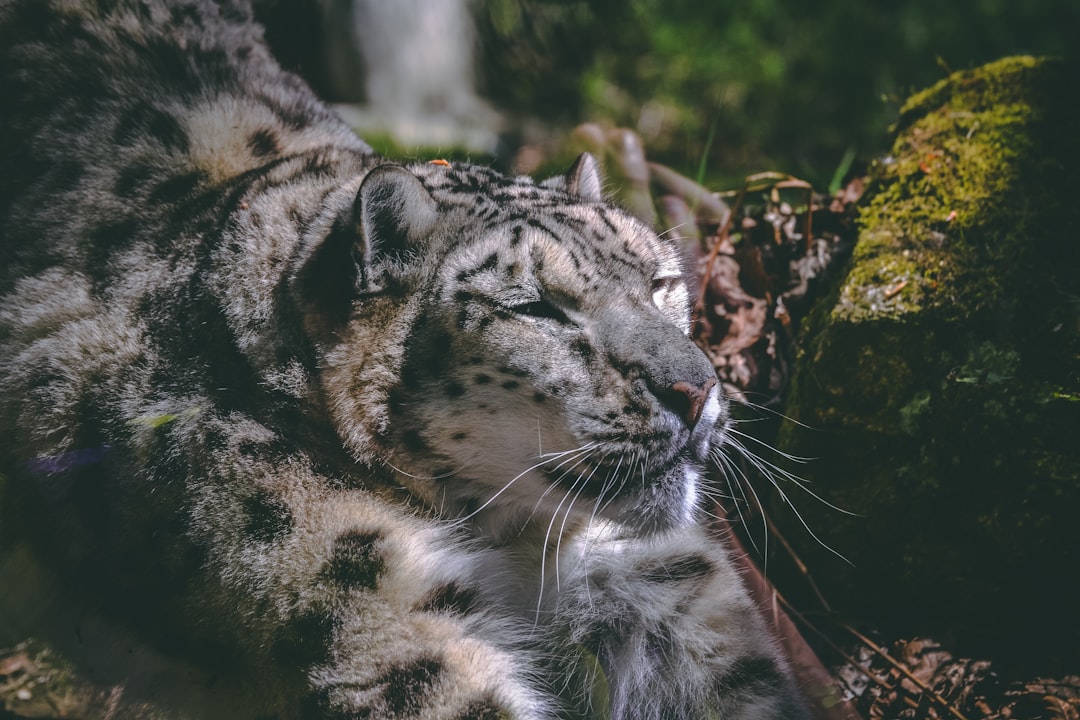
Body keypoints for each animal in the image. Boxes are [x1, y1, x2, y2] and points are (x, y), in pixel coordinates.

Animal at [0, 1, 812, 720]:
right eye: (536, 308)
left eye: (661, 282)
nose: (696, 390)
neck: (519, 544)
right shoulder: (364, 598)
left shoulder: (657, 584)